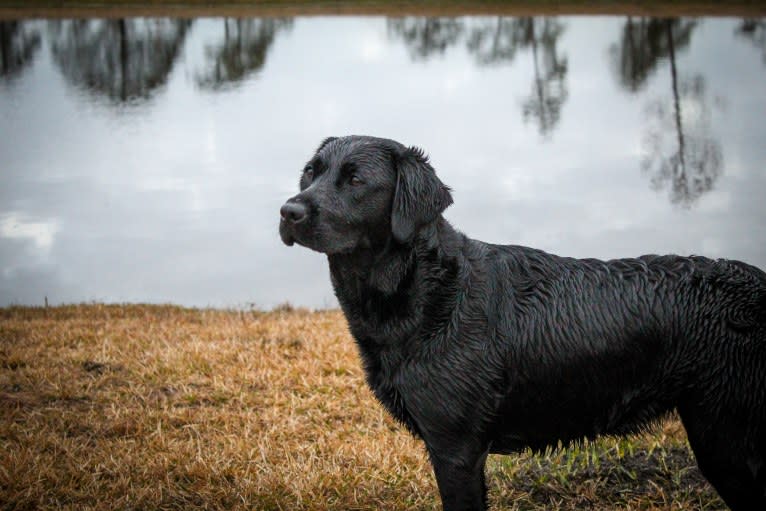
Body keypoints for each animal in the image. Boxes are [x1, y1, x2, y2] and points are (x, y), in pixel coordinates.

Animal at [280, 136, 766, 511]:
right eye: (309, 172)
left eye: (356, 180)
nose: (288, 211)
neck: (428, 292)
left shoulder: (455, 449)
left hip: (726, 440)